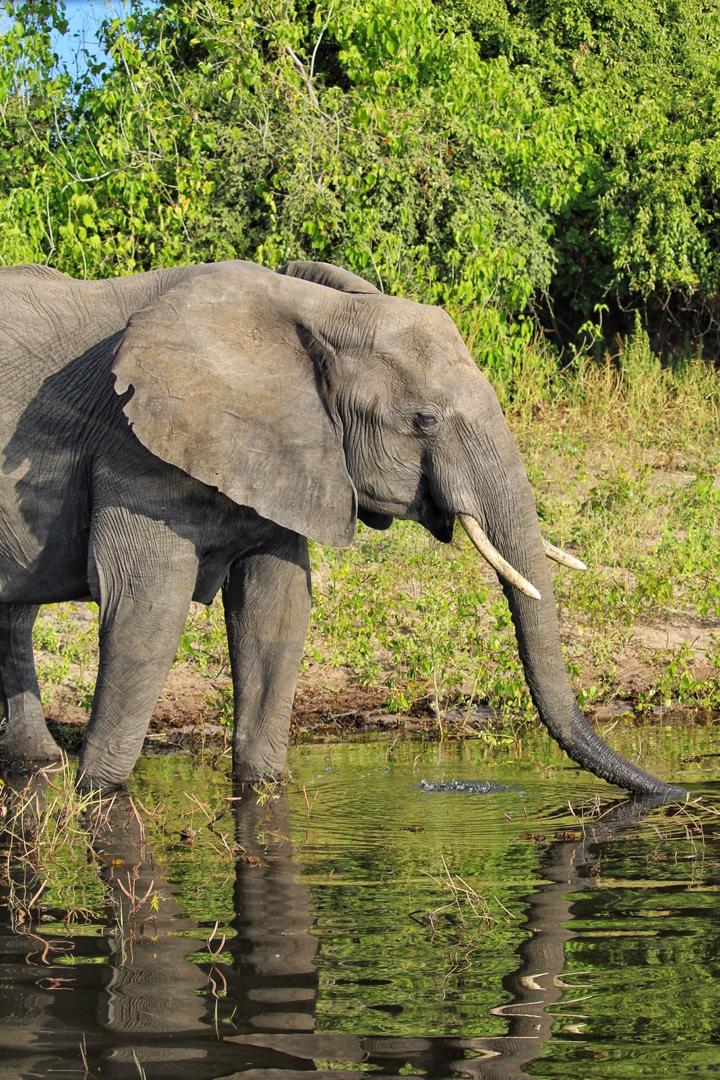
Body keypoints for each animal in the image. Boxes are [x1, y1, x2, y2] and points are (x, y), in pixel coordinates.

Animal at [0, 258, 684, 797]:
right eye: (425, 420)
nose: (676, 794)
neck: (314, 314)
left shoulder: (292, 451)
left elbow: (276, 613)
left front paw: (262, 788)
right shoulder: (134, 452)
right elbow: (145, 611)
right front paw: (100, 794)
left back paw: (38, 766)